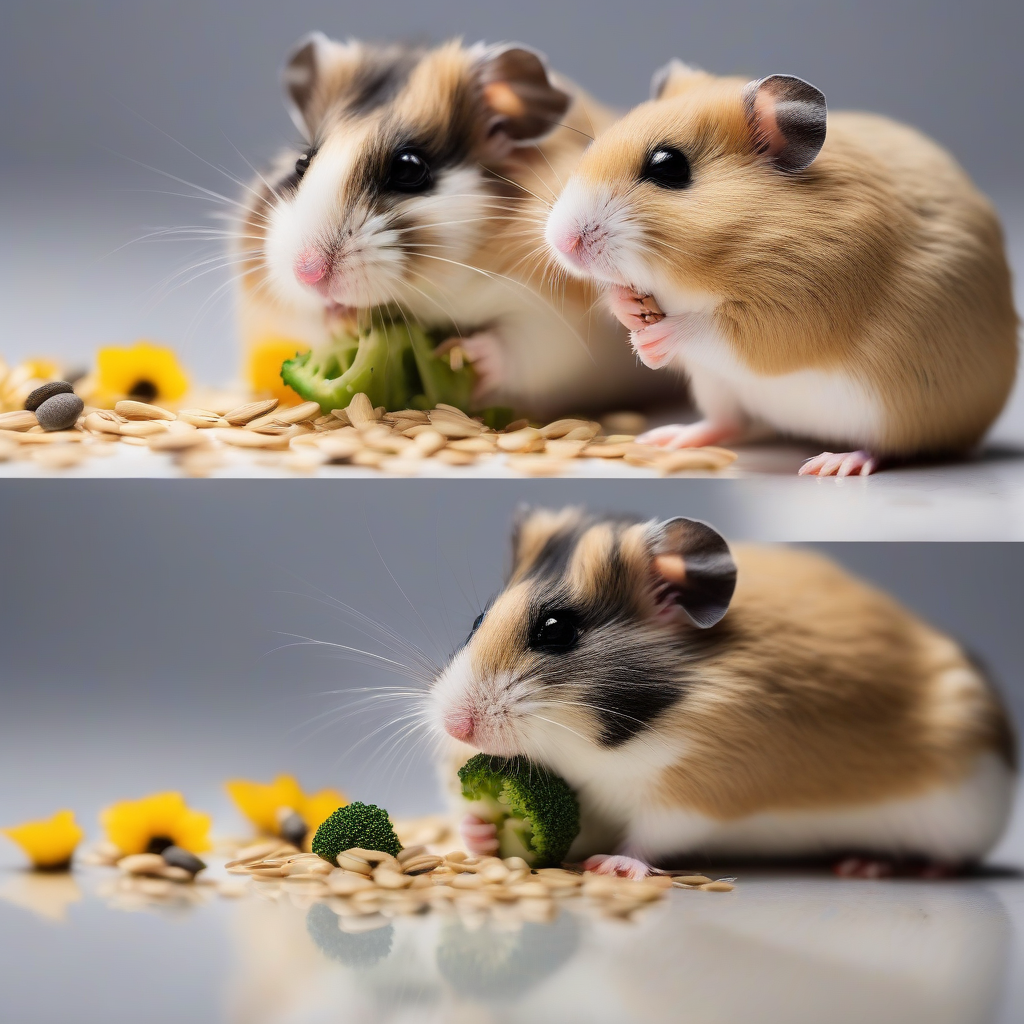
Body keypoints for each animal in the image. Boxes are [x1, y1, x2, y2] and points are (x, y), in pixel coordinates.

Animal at [235, 36, 673, 418]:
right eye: (302, 164)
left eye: (409, 169)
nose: (307, 275)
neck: (449, 283)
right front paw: (339, 320)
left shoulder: (560, 321)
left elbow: (525, 347)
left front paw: (458, 354)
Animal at [430, 508, 1016, 876]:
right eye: (478, 621)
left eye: (556, 630)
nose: (455, 726)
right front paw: (480, 834)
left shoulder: (697, 790)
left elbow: (650, 834)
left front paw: (610, 868)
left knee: (955, 860)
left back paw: (880, 866)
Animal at [545, 62, 1019, 475]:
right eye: (592, 145)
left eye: (668, 166)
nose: (562, 243)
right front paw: (629, 315)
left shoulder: (799, 306)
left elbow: (714, 329)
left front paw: (653, 342)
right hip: (716, 387)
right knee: (728, 423)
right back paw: (670, 438)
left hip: (896, 410)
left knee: (889, 448)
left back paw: (833, 464)